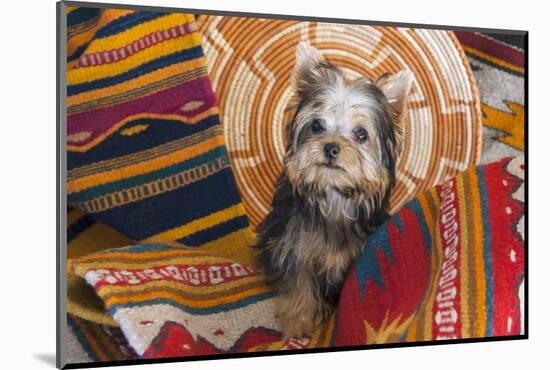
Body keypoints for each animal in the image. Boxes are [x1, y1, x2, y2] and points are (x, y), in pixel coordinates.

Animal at [258, 42, 414, 336]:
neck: (333, 194)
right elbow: (299, 282)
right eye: (316, 126)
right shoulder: (294, 243)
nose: (331, 147)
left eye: (361, 134)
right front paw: (299, 321)